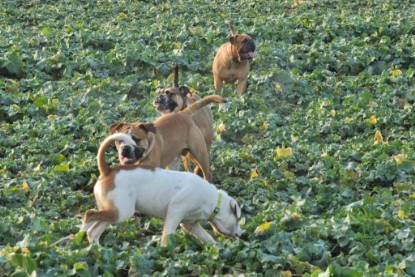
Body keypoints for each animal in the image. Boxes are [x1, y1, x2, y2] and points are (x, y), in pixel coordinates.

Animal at [80, 133, 244, 245]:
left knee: (94, 231)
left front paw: (216, 248)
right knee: (89, 215)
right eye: (238, 219)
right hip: (122, 212)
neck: (213, 201)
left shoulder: (190, 223)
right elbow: (167, 235)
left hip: (113, 212)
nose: (241, 234)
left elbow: (206, 236)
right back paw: (82, 231)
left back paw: (97, 250)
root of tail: (107, 171)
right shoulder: (175, 213)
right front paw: (165, 249)